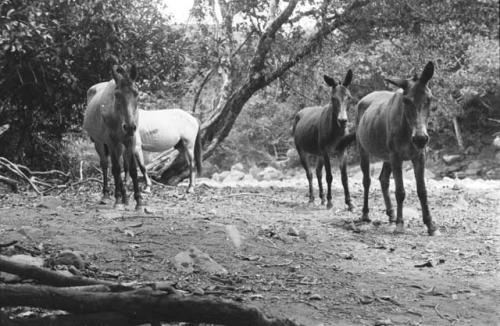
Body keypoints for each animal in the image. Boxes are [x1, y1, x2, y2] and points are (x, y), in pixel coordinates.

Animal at [83, 65, 143, 210]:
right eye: (117, 95)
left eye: (136, 93)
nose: (129, 127)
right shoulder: (111, 141)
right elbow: (115, 169)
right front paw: (117, 199)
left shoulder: (130, 141)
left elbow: (132, 169)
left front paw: (138, 201)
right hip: (99, 143)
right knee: (105, 164)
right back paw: (107, 195)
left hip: (120, 145)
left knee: (122, 166)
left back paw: (125, 197)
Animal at [292, 70, 356, 210]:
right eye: (333, 98)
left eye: (349, 97)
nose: (342, 121)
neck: (336, 132)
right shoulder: (326, 151)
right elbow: (329, 176)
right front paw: (330, 202)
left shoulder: (342, 150)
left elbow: (344, 177)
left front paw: (349, 203)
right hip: (301, 149)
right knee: (310, 174)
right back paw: (312, 198)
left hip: (318, 152)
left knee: (317, 172)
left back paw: (321, 197)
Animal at [340, 60, 438, 234]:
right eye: (406, 101)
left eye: (429, 99)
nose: (420, 138)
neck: (407, 129)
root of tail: (364, 99)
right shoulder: (396, 157)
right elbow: (400, 191)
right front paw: (400, 224)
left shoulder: (419, 156)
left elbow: (422, 191)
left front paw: (430, 224)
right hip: (364, 150)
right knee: (367, 181)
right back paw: (366, 214)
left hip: (386, 156)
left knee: (383, 179)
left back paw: (391, 214)